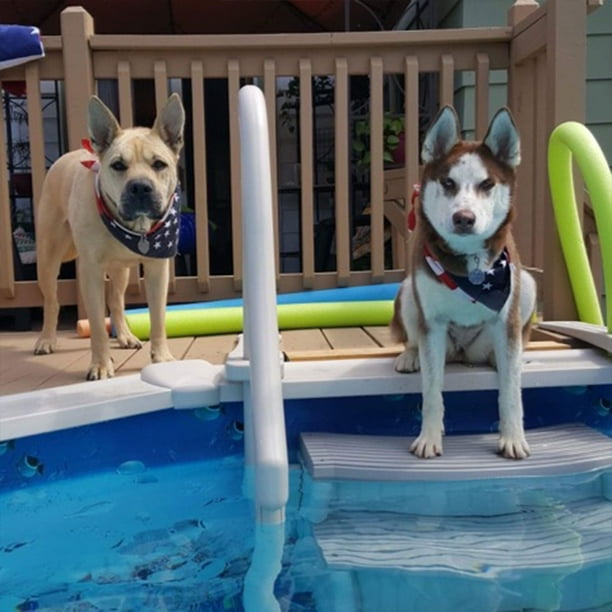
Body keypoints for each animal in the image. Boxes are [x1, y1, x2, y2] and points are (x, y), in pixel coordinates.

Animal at [34, 93, 184, 380]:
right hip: (47, 259)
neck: (131, 227)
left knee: (116, 300)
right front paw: (101, 364)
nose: (140, 187)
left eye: (159, 164)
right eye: (118, 165)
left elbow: (158, 317)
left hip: (120, 271)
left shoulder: (157, 268)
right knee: (51, 301)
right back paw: (46, 339)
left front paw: (161, 357)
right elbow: (95, 325)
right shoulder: (91, 272)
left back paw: (125, 335)